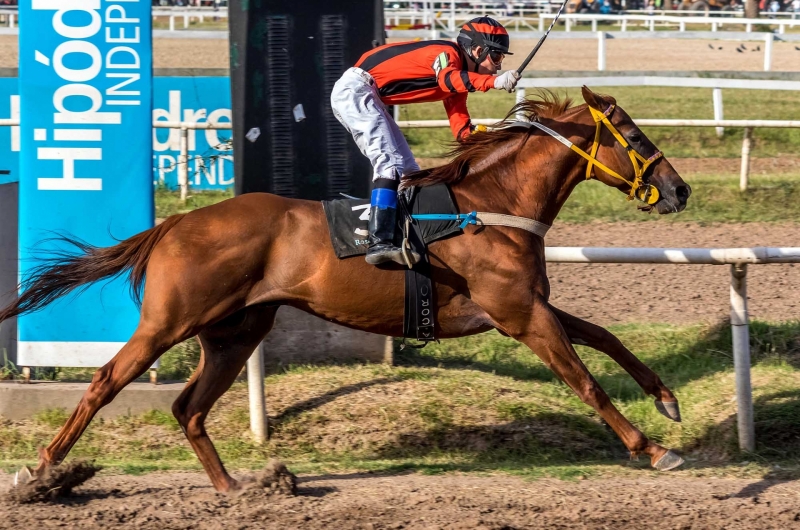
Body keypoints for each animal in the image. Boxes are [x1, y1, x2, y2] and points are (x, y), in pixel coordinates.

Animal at [0, 87, 692, 490]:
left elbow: (604, 336)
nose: (680, 190)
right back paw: (41, 470)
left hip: (235, 331)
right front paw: (652, 448)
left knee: (188, 408)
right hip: (170, 320)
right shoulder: (519, 314)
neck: (493, 204)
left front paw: (666, 399)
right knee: (105, 381)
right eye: (634, 135)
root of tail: (175, 222)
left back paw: (235, 489)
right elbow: (584, 380)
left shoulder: (525, 306)